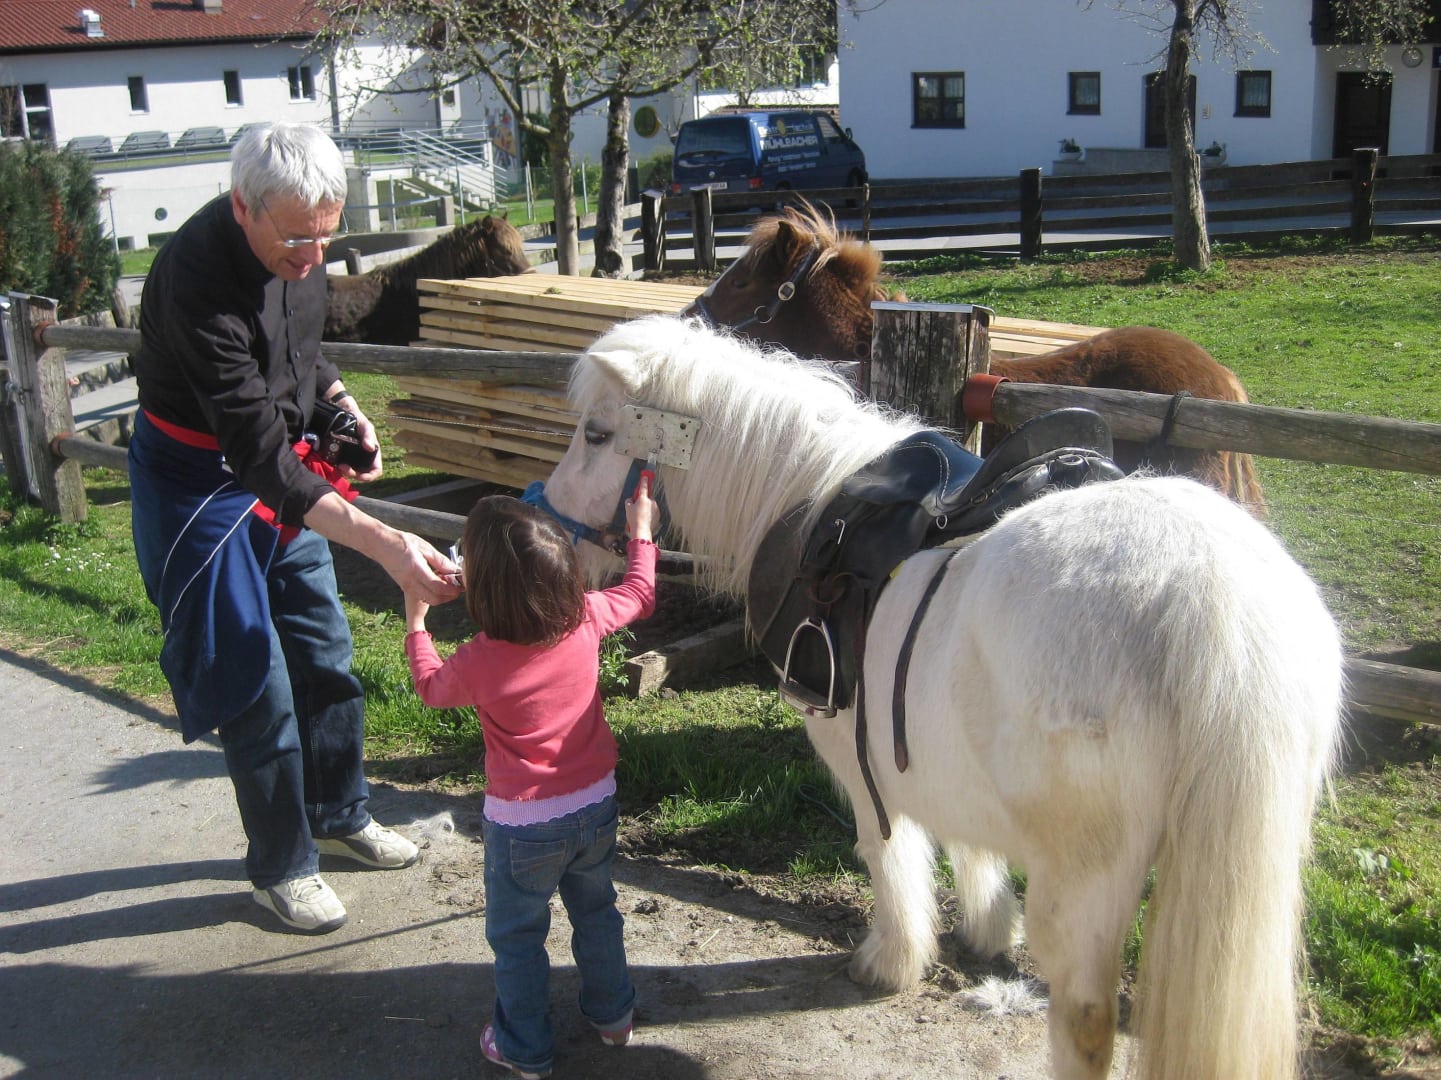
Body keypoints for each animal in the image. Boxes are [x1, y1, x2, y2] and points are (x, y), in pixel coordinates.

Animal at [534, 314, 1342, 1080]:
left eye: (597, 433)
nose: (558, 535)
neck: (807, 496)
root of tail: (1212, 596)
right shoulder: (941, 747)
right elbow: (968, 842)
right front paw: (986, 928)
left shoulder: (854, 752)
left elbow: (888, 851)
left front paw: (892, 960)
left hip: (1086, 888)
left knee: (1085, 1020)